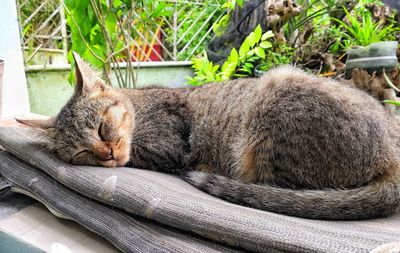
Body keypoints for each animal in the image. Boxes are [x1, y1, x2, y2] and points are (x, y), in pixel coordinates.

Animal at [20, 52, 398, 220]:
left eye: (101, 127)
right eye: (81, 153)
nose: (107, 154)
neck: (139, 104)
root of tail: (390, 152)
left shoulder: (169, 146)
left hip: (272, 102)